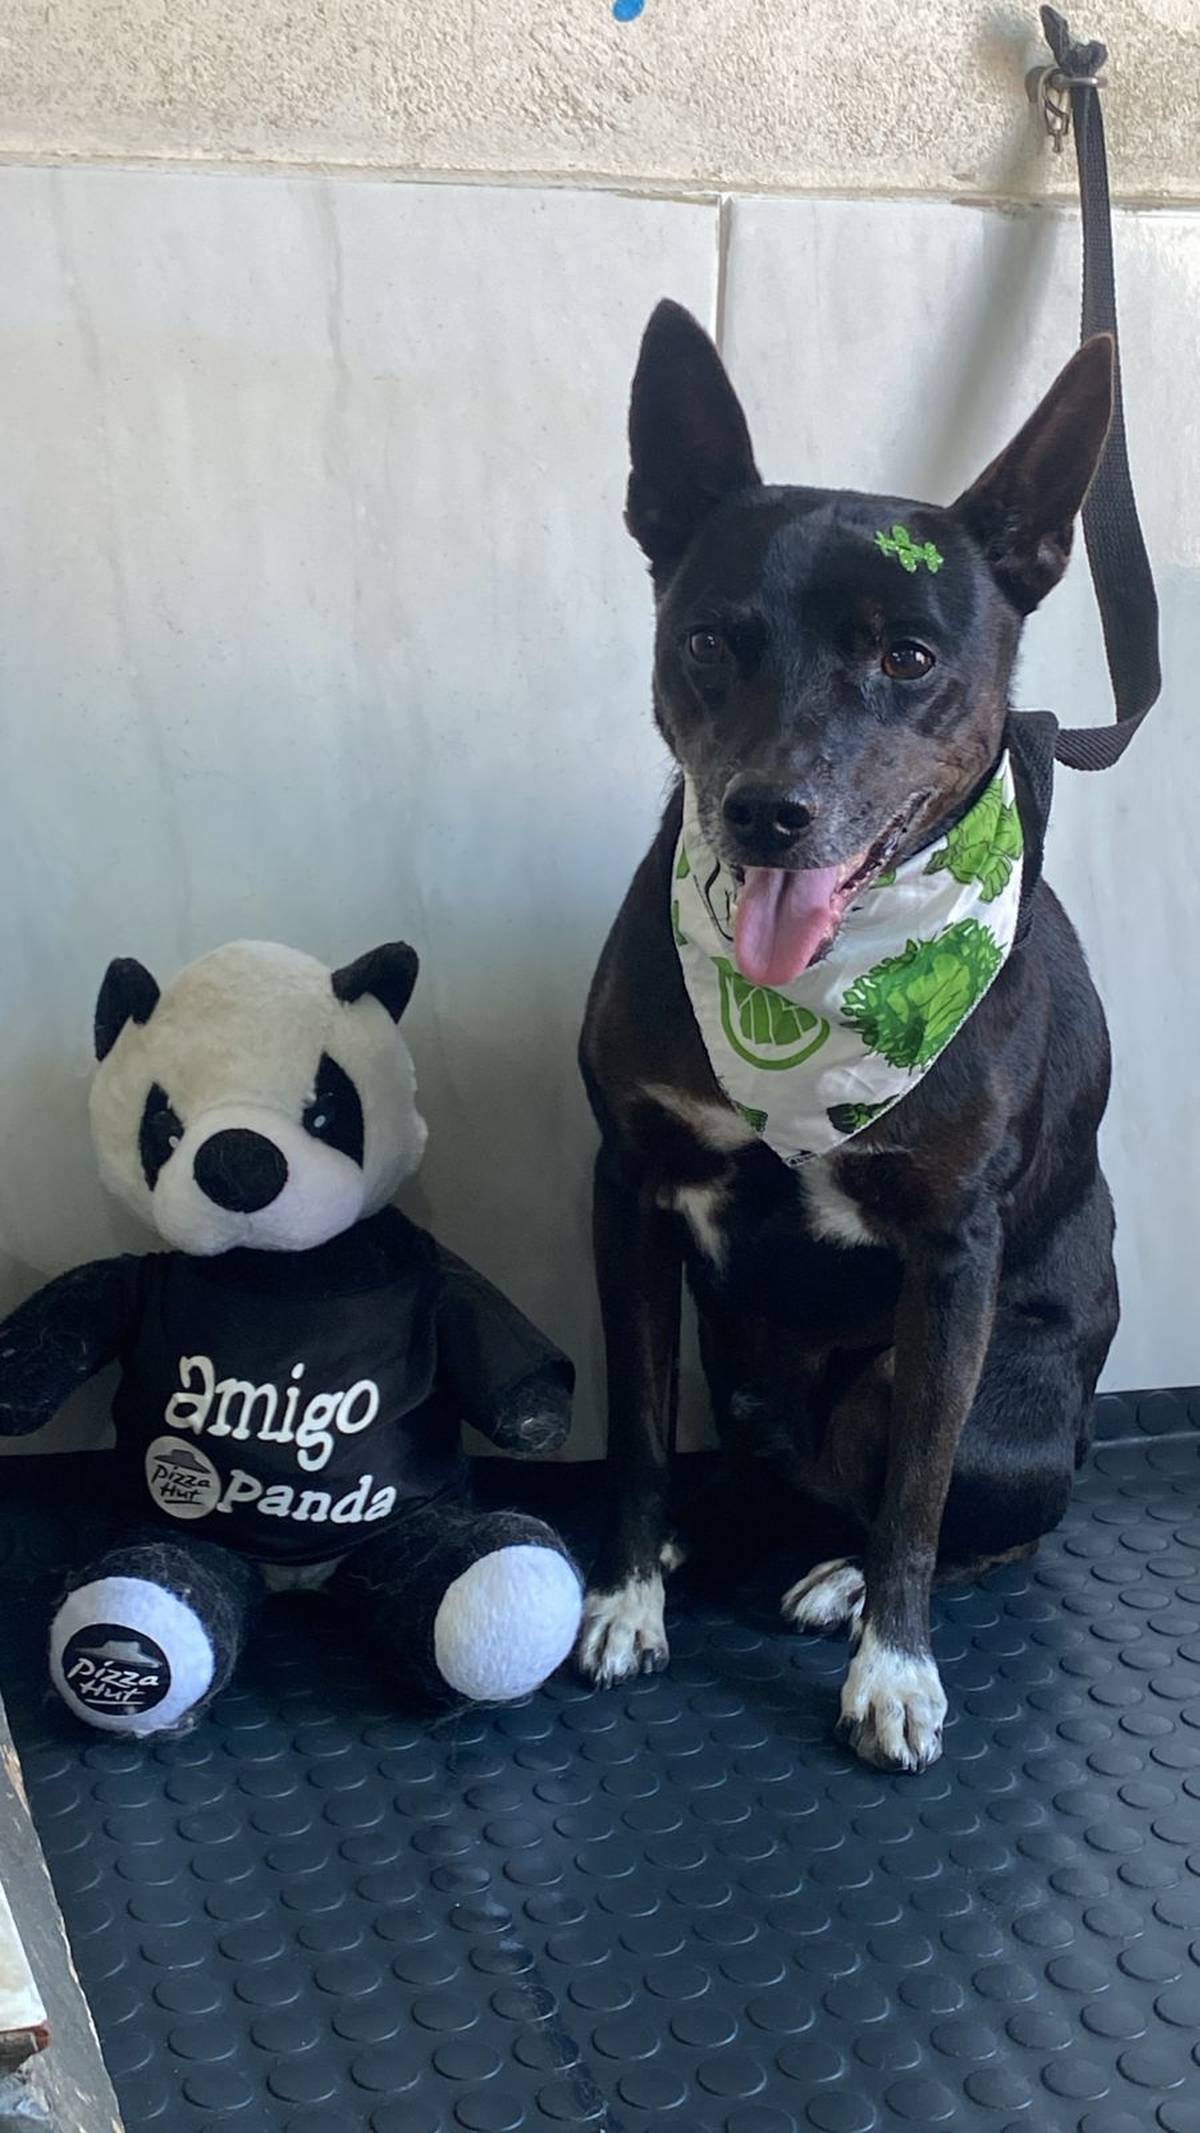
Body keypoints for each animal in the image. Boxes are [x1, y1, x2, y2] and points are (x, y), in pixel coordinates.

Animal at [576, 300, 1120, 1772]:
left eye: (908, 658)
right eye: (712, 641)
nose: (768, 812)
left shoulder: (951, 1254)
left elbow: (919, 1497)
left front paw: (896, 1666)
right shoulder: (628, 1187)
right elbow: (634, 1431)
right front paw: (627, 1592)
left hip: (998, 1414)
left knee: (966, 1516)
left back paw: (843, 1586)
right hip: (737, 1361)